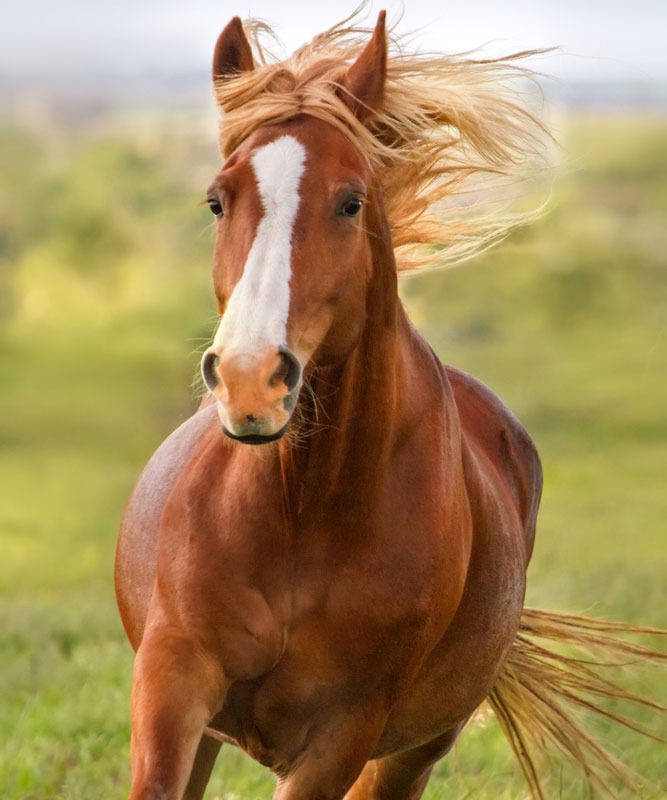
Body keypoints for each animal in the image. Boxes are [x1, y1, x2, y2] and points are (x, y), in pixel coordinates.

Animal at [115, 12, 665, 800]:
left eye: (350, 201)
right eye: (218, 201)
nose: (251, 380)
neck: (301, 512)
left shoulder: (342, 734)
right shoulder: (173, 684)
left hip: (413, 750)